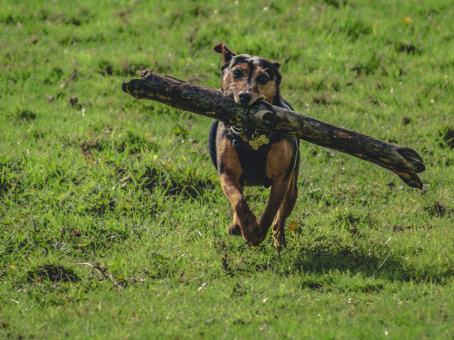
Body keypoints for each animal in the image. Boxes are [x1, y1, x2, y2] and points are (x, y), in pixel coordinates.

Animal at [207, 44, 300, 247]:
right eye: (236, 73)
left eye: (263, 78)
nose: (244, 96)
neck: (251, 134)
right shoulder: (227, 173)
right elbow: (238, 201)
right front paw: (248, 228)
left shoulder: (282, 178)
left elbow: (272, 208)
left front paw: (258, 232)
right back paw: (237, 225)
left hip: (292, 187)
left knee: (282, 214)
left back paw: (278, 239)